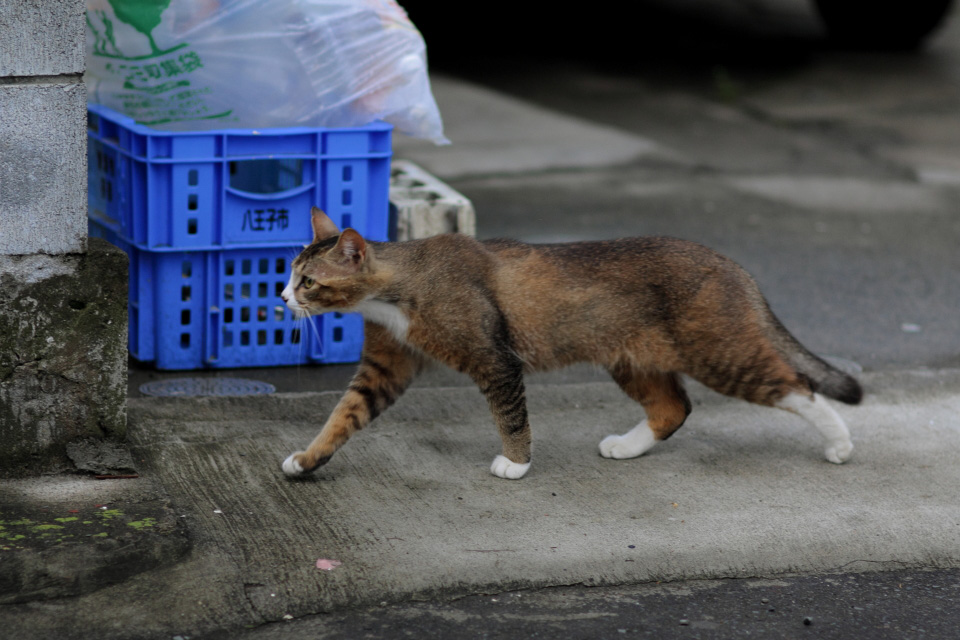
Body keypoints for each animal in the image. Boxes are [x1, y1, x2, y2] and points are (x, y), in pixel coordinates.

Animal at [280, 208, 864, 478]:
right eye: (290, 273)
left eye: (307, 281)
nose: (282, 296)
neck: (403, 282)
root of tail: (732, 264)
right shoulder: (386, 366)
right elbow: (344, 415)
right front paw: (309, 460)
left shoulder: (495, 359)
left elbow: (511, 415)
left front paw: (516, 464)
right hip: (632, 358)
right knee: (674, 407)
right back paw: (628, 446)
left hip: (719, 352)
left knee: (797, 386)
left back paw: (839, 444)